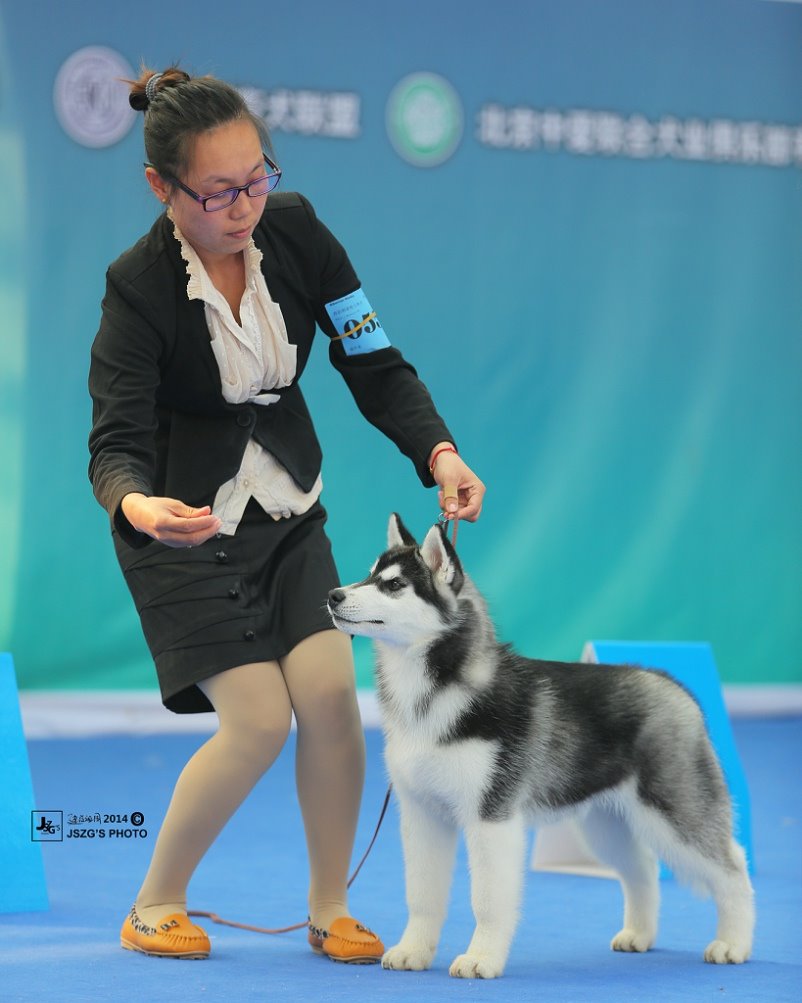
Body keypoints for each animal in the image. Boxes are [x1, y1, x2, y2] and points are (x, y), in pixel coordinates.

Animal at [324, 517, 753, 978]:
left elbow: (487, 900)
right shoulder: (421, 814)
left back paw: (733, 942)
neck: (430, 693)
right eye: (369, 574)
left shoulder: (491, 815)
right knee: (642, 869)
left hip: (675, 810)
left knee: (733, 865)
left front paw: (481, 957)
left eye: (394, 585)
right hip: (605, 825)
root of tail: (673, 685)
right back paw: (639, 933)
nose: (333, 595)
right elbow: (422, 895)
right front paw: (414, 950)